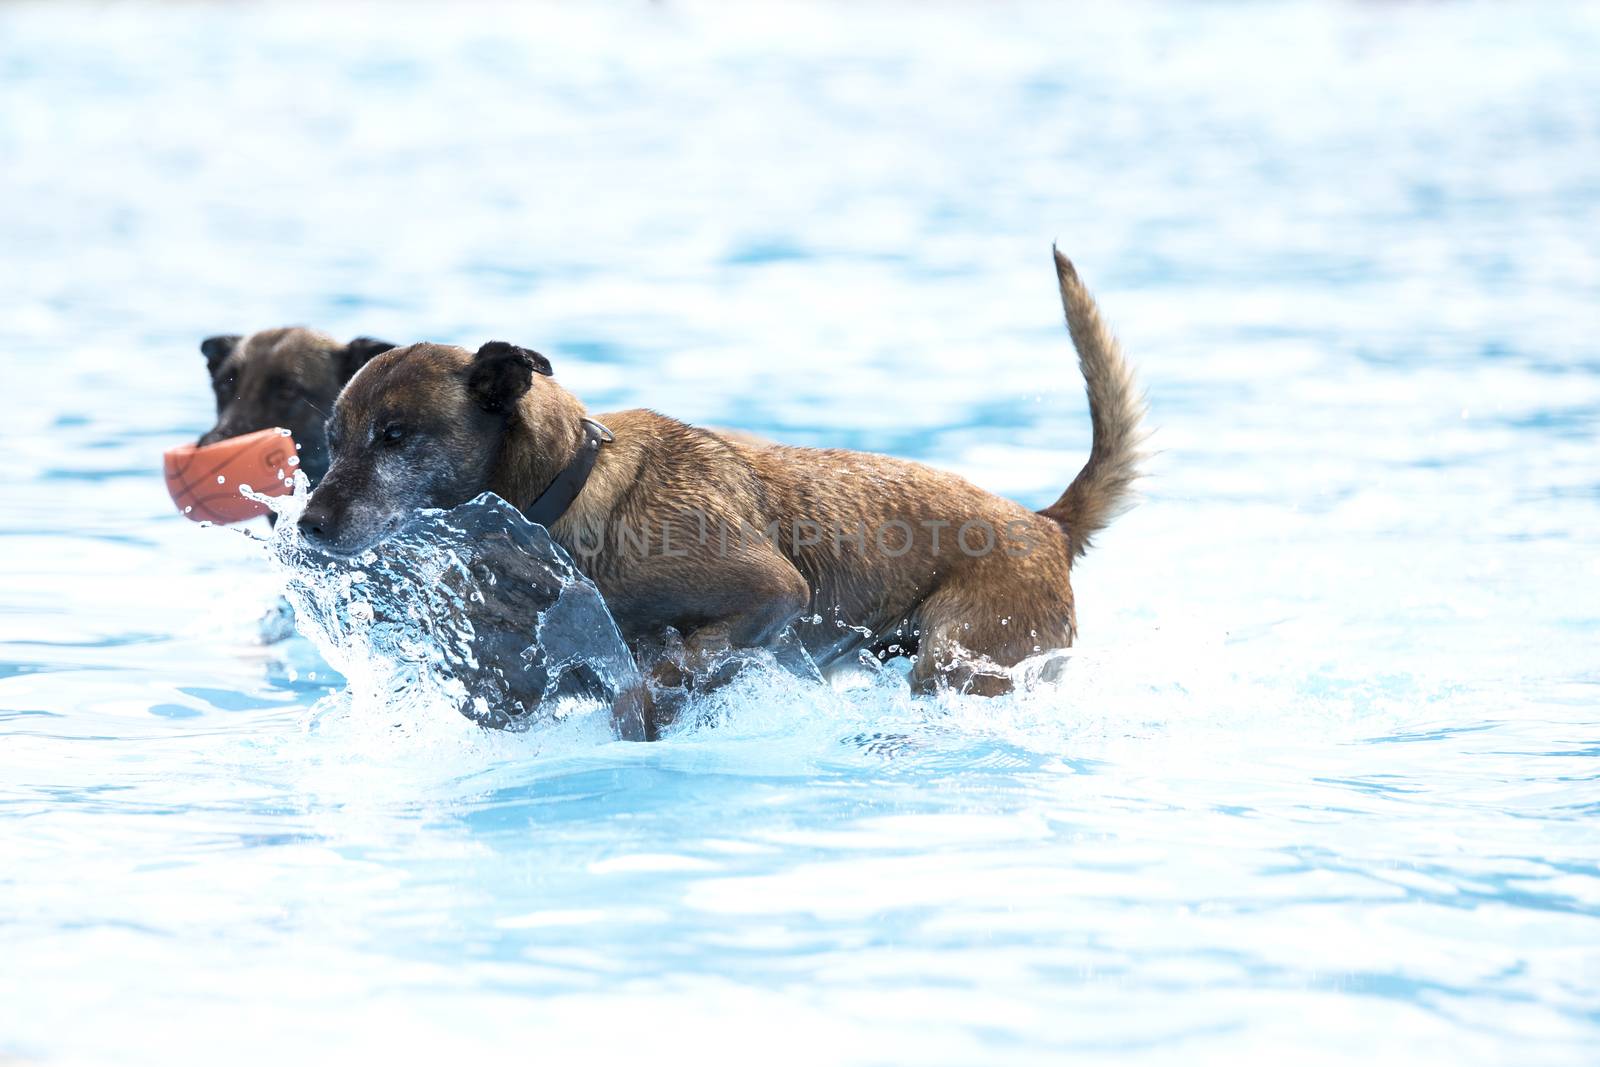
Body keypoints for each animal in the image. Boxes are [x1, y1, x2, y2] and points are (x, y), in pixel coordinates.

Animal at [300, 251, 1145, 700]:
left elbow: (680, 661)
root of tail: (1043, 523)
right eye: (332, 439)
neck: (571, 488)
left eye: (395, 437)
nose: (307, 524)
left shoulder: (772, 591)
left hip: (959, 661)